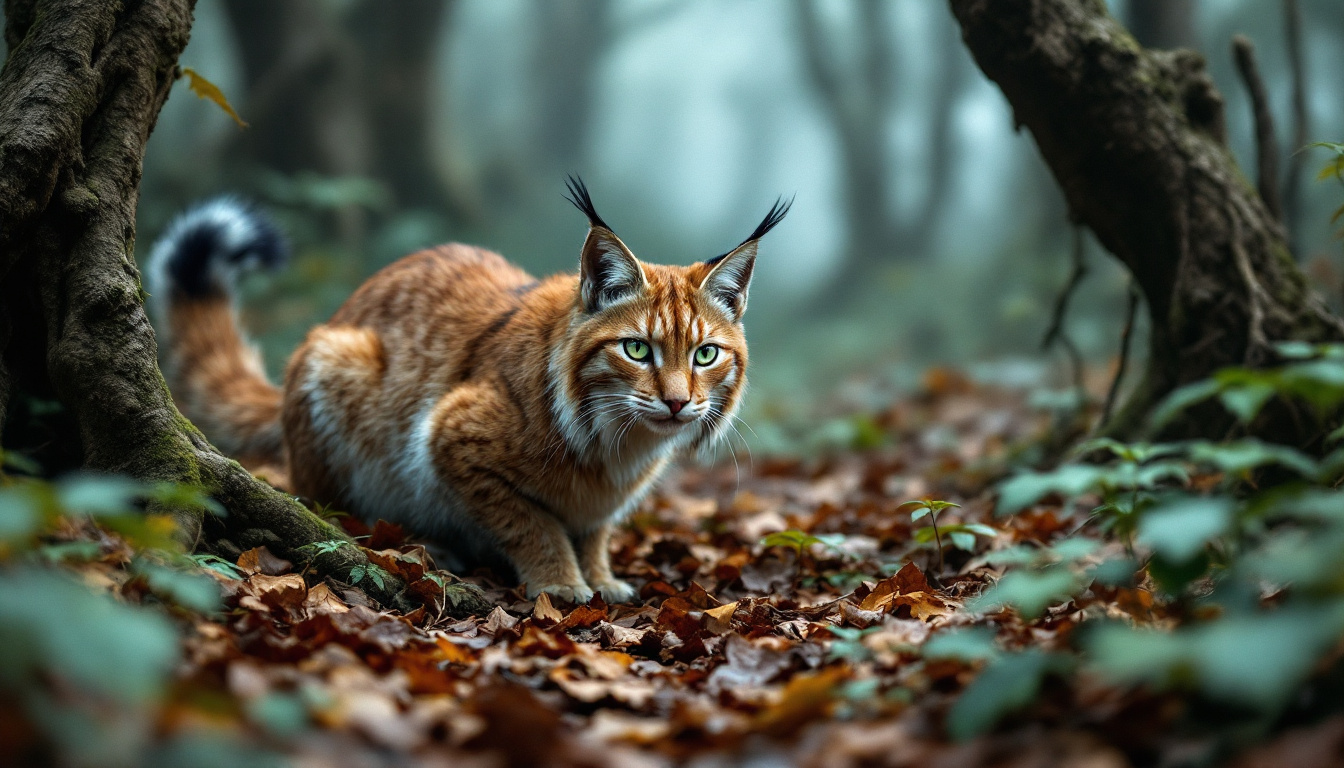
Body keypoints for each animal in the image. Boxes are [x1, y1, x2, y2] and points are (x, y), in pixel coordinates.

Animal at [152, 177, 790, 605]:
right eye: (636, 350)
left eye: (705, 354)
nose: (678, 403)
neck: (620, 441)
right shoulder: (448, 432)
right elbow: (531, 520)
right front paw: (561, 582)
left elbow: (595, 528)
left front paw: (601, 576)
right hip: (335, 359)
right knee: (317, 501)